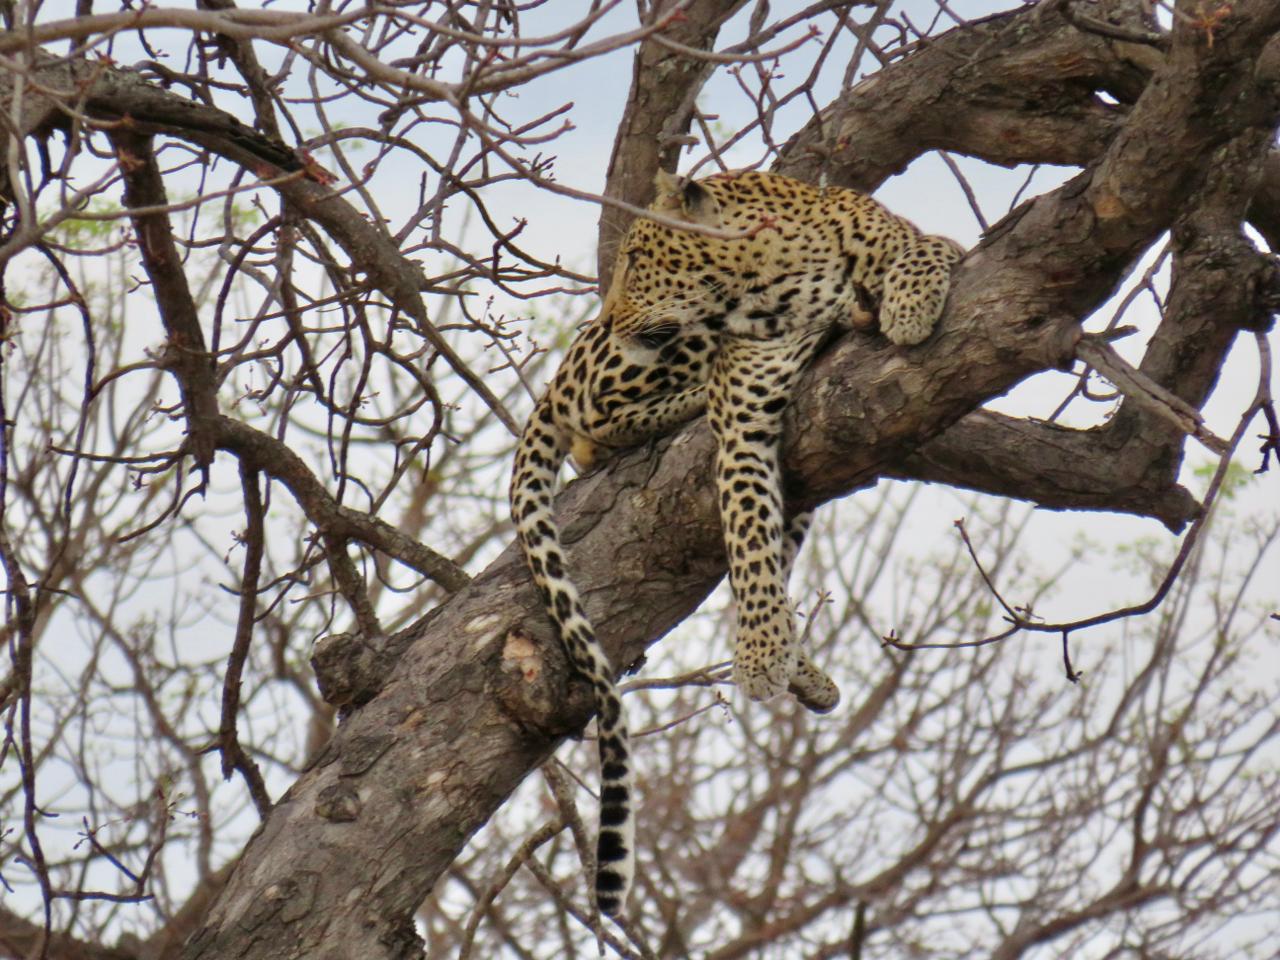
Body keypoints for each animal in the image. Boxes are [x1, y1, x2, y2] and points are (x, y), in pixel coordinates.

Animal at [509, 168, 962, 917]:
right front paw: (757, 657)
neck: (778, 280)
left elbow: (926, 246)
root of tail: (566, 363)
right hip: (633, 368)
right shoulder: (745, 413)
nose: (609, 316)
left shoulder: (920, 238)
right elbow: (749, 539)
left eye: (639, 256)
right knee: (594, 425)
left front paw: (909, 302)